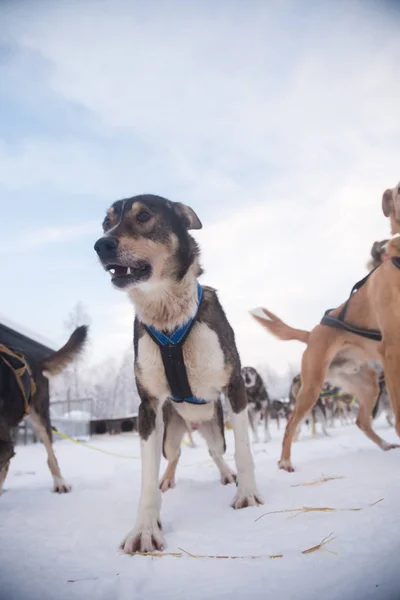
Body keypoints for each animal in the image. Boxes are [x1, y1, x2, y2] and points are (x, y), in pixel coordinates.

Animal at [252, 184, 398, 474]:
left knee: (361, 421)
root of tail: (312, 333)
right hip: (311, 389)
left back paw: (385, 445)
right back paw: (285, 461)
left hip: (368, 384)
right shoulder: (392, 352)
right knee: (290, 425)